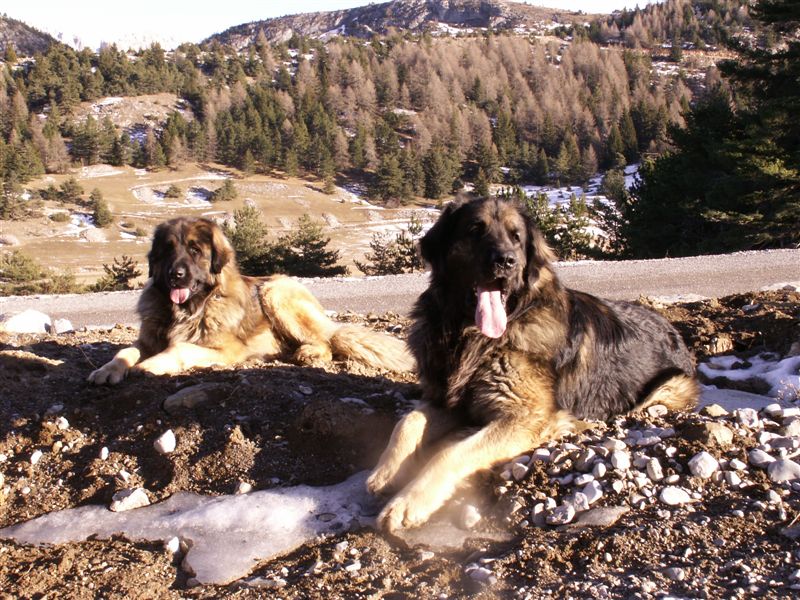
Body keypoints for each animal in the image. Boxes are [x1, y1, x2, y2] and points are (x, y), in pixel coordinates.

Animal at [88, 216, 414, 385]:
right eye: (167, 250)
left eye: (194, 250)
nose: (175, 275)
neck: (191, 308)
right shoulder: (147, 338)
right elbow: (125, 351)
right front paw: (107, 370)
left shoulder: (227, 348)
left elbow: (179, 346)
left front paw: (150, 366)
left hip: (275, 292)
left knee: (327, 342)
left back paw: (308, 353)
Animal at [367, 196, 697, 531]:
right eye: (475, 230)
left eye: (517, 237)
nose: (506, 261)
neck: (474, 337)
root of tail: (673, 330)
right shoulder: (448, 397)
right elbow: (408, 422)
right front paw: (387, 470)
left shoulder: (528, 416)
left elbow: (450, 453)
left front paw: (408, 502)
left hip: (671, 386)